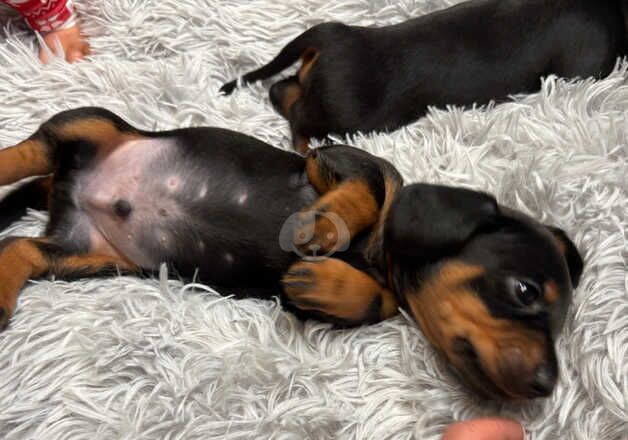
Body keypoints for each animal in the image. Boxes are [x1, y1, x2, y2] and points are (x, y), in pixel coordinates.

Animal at [0, 108, 580, 400]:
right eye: (525, 290)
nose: (546, 386)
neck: (377, 252)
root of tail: (69, 187)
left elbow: (378, 301)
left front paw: (323, 282)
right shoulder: (338, 158)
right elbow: (369, 191)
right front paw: (320, 226)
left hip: (85, 254)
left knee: (21, 246)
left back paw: (2, 291)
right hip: (90, 126)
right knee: (28, 150)